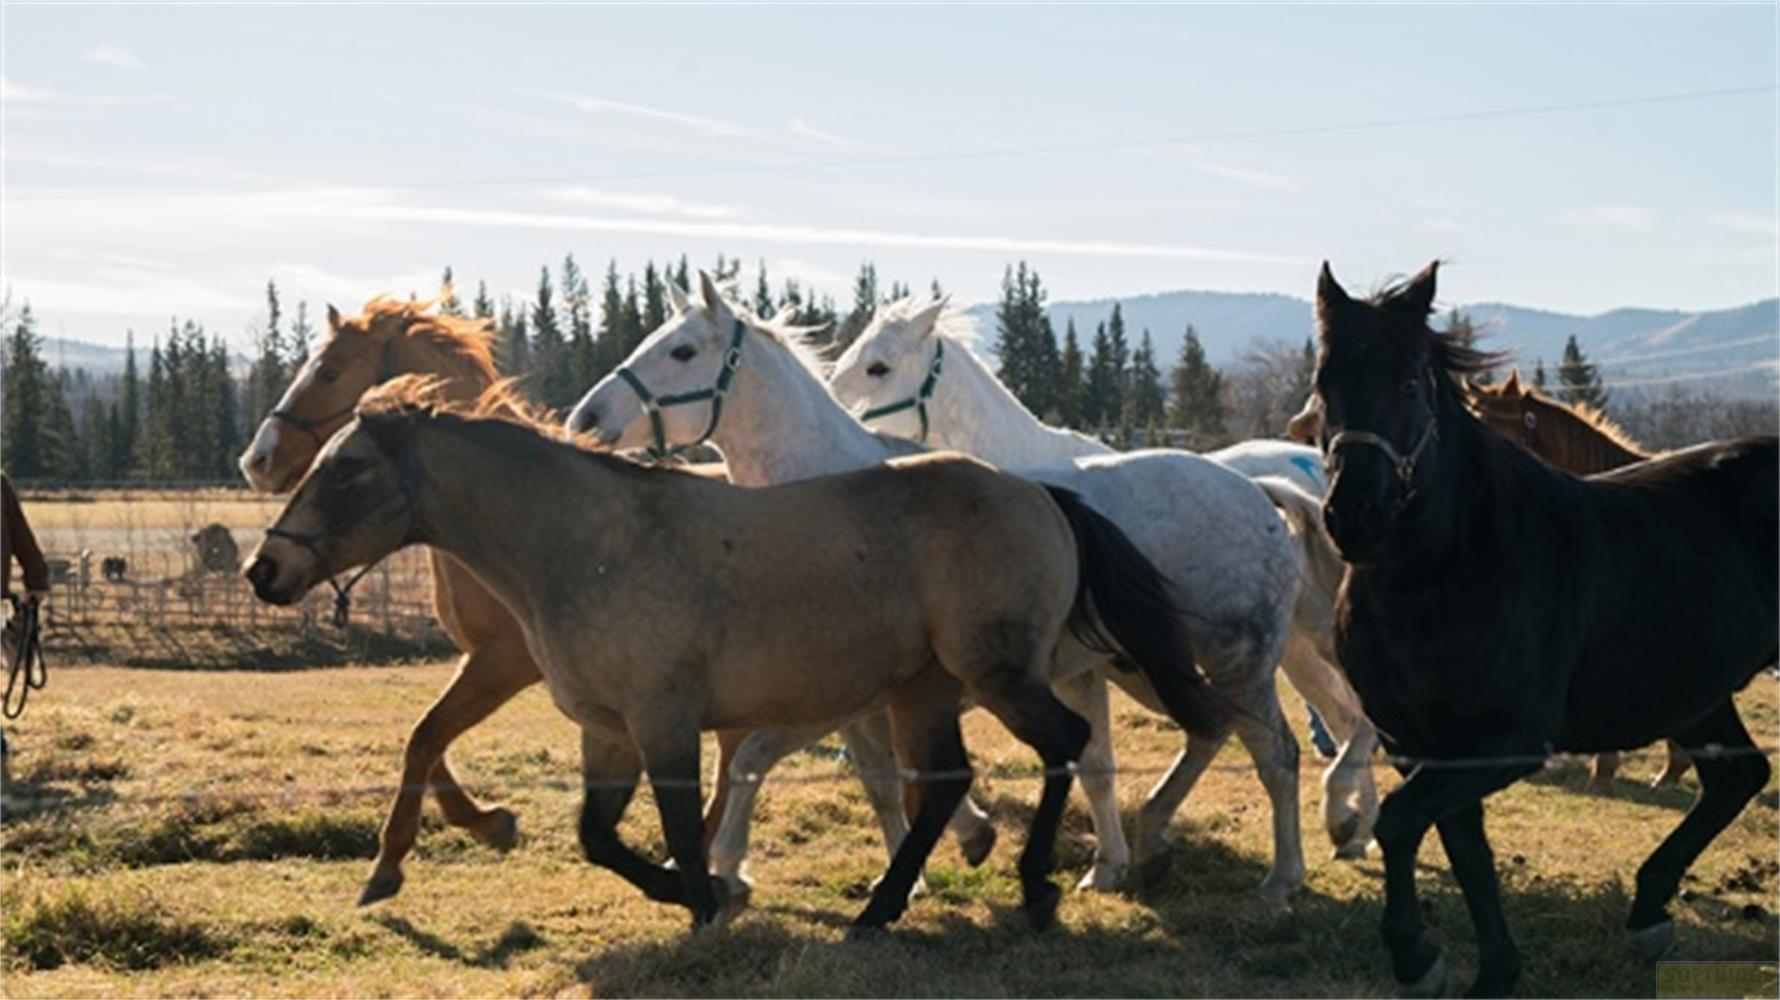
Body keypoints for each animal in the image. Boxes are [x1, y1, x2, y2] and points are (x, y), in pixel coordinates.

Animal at [237, 294, 541, 905]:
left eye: (329, 372)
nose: (256, 461)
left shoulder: (508, 659)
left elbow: (425, 737)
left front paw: (389, 861)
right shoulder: (476, 658)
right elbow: (427, 740)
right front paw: (488, 821)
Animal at [245, 380, 1228, 933]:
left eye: (346, 470)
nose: (266, 569)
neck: (587, 544)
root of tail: (1041, 494)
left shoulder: (665, 722)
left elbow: (683, 827)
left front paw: (709, 903)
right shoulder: (609, 730)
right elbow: (598, 837)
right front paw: (696, 895)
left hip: (998, 674)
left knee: (1063, 743)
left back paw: (1031, 888)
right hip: (924, 692)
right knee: (947, 780)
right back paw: (881, 906)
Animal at [569, 274, 1318, 902]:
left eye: (683, 351)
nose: (584, 419)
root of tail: (1256, 490)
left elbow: (766, 758)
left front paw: (728, 864)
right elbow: (881, 779)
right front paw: (927, 863)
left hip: (1239, 664)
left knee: (1274, 755)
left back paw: (1281, 877)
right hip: (1153, 666)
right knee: (1208, 734)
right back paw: (1137, 850)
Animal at [827, 297, 1379, 862]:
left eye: (878, 367)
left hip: (1313, 638)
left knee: (1360, 719)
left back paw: (1343, 812)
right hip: (1290, 653)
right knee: (1342, 716)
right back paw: (1353, 829)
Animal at [1310, 259, 1775, 997]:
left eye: (1408, 382)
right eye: (1323, 383)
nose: (1355, 515)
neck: (1443, 574)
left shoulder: (1506, 743)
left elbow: (1404, 821)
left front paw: (1414, 954)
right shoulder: (1423, 745)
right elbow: (1464, 849)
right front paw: (1491, 970)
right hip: (1695, 688)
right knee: (1739, 776)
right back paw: (1649, 911)